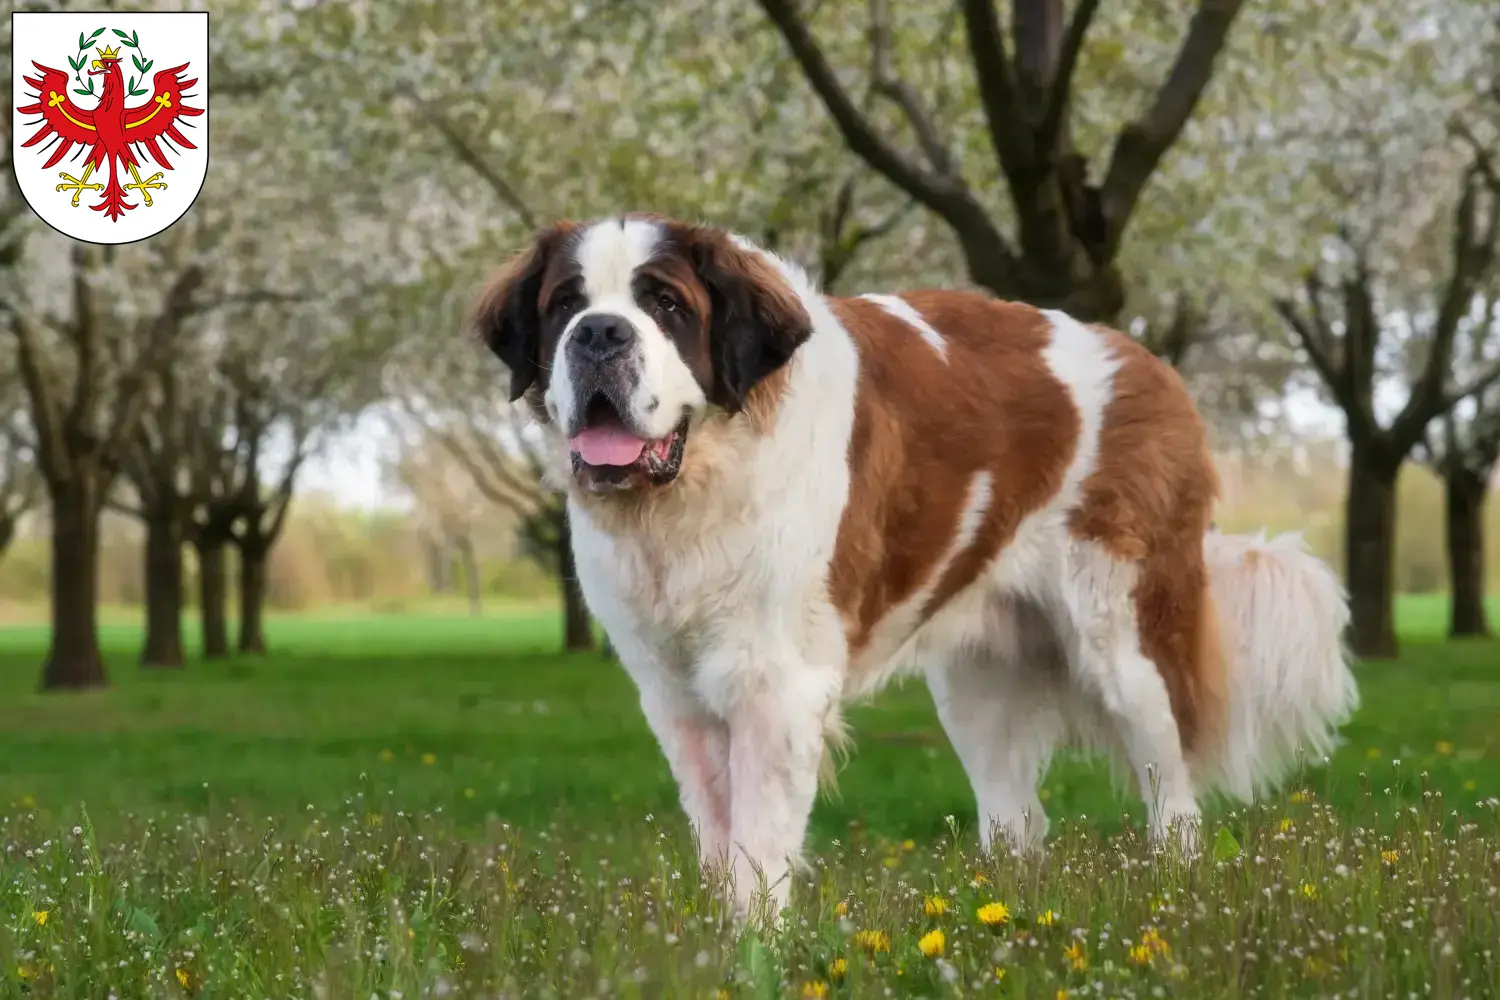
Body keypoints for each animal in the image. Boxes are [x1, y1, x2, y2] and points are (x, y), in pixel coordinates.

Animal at [474, 215, 1368, 917]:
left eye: (665, 304)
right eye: (565, 304)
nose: (600, 333)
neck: (694, 490)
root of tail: (1148, 364)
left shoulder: (776, 689)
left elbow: (760, 848)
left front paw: (754, 954)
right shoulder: (676, 698)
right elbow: (719, 840)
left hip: (1128, 647)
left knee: (1173, 796)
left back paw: (1172, 897)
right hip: (977, 686)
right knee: (1017, 817)